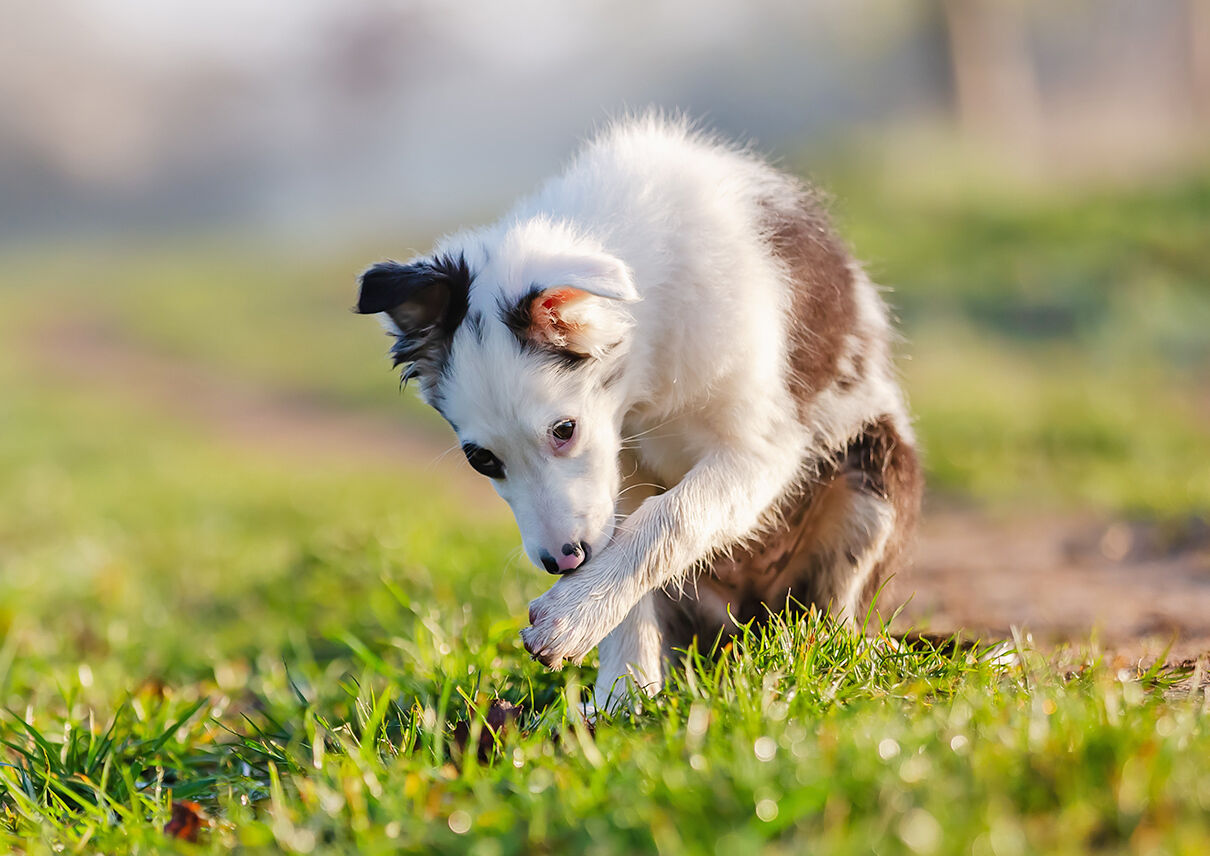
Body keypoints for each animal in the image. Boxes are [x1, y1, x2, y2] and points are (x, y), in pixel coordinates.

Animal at [353, 115, 919, 716]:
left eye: (564, 430)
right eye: (483, 460)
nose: (562, 564)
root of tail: (749, 622)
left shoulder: (763, 448)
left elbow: (671, 518)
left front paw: (572, 617)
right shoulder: (617, 470)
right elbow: (631, 549)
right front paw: (621, 698)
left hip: (877, 464)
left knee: (829, 618)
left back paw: (814, 655)